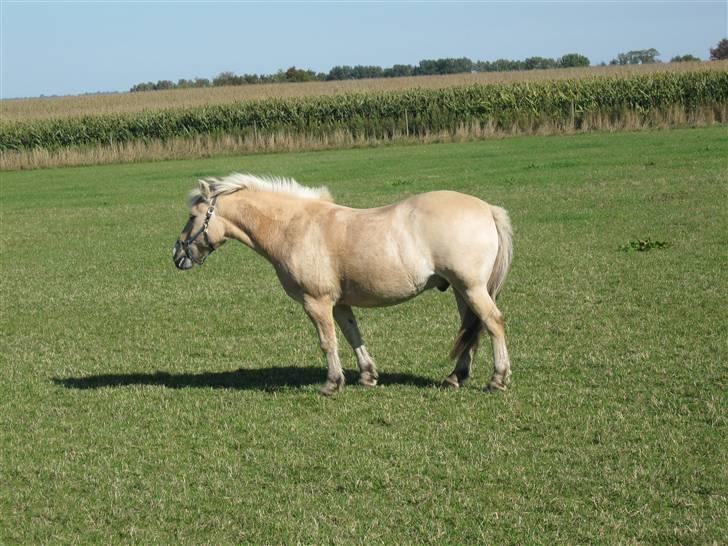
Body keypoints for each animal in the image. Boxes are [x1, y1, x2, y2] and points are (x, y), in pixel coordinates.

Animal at [172, 172, 512, 394]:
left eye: (192, 216)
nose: (177, 255)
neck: (293, 227)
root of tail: (487, 208)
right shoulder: (339, 303)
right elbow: (352, 335)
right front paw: (368, 375)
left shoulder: (316, 301)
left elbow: (328, 341)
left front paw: (332, 383)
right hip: (461, 290)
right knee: (471, 329)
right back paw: (456, 376)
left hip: (471, 288)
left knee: (493, 322)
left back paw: (498, 379)